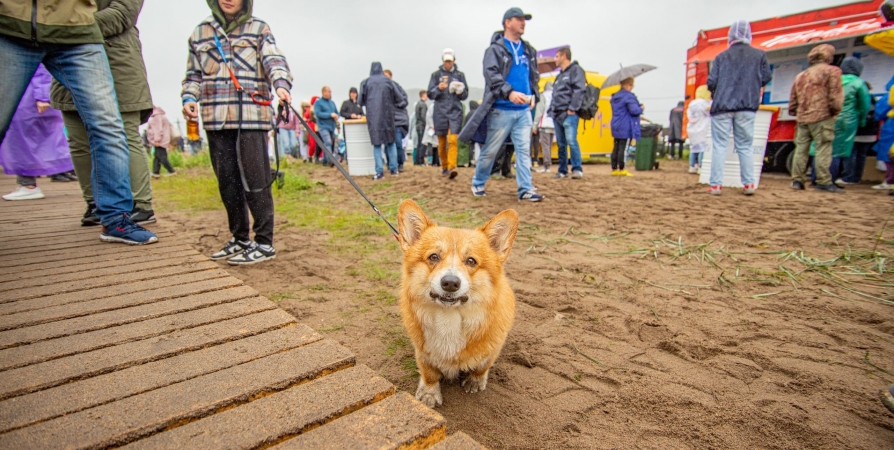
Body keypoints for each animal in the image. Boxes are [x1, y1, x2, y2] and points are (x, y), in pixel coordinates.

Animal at [398, 200, 520, 408]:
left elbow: (482, 366)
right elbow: (429, 373)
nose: (450, 283)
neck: (450, 316)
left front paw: (475, 381)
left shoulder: (493, 348)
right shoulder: (423, 352)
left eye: (471, 261)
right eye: (433, 257)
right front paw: (429, 393)